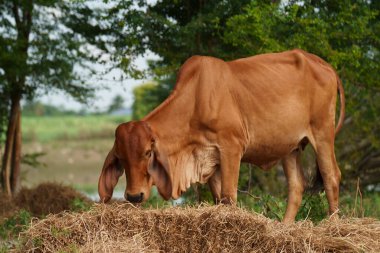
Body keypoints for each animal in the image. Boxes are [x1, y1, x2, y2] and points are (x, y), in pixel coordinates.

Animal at [97, 49, 344, 221]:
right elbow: (218, 198)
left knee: (331, 176)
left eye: (148, 153)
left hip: (322, 133)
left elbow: (228, 196)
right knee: (296, 186)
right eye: (121, 158)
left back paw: (333, 226)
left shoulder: (232, 147)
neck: (195, 101)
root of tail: (323, 64)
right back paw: (285, 228)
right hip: (292, 147)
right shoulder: (210, 158)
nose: (133, 196)